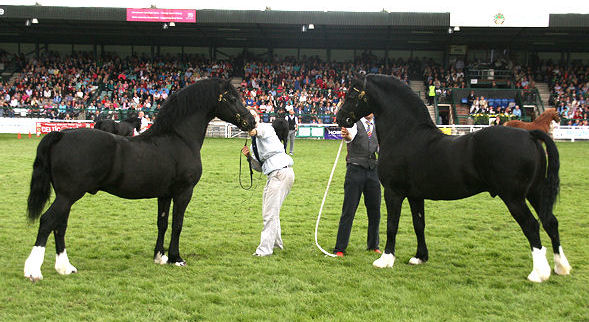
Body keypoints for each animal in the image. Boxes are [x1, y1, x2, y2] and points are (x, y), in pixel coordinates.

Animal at [24, 78, 254, 282]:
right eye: (232, 98)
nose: (251, 121)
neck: (179, 138)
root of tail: (61, 135)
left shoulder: (165, 194)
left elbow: (162, 223)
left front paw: (160, 257)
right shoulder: (184, 192)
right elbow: (177, 224)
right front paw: (176, 258)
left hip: (66, 196)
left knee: (59, 226)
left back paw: (65, 268)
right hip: (68, 196)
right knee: (47, 221)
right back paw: (33, 271)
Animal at [336, 75, 568, 282]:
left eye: (351, 94)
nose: (340, 118)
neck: (405, 134)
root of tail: (530, 135)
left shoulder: (394, 193)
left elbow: (392, 224)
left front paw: (385, 260)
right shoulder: (415, 196)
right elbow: (419, 224)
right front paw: (420, 257)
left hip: (514, 198)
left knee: (532, 225)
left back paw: (538, 274)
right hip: (535, 192)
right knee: (550, 222)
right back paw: (560, 267)